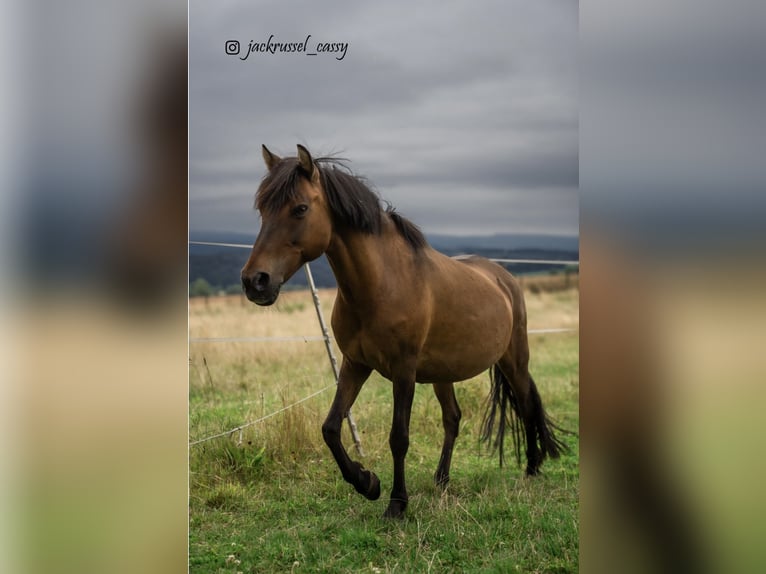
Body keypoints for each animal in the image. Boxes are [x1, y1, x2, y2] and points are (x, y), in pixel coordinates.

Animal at [241, 144, 567, 519]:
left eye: (300, 208)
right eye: (262, 209)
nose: (255, 281)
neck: (382, 285)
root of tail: (504, 277)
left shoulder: (404, 371)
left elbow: (399, 437)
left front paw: (397, 503)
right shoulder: (354, 364)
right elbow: (331, 428)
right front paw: (367, 482)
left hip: (514, 359)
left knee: (526, 404)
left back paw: (531, 468)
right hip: (444, 373)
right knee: (453, 418)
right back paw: (442, 479)